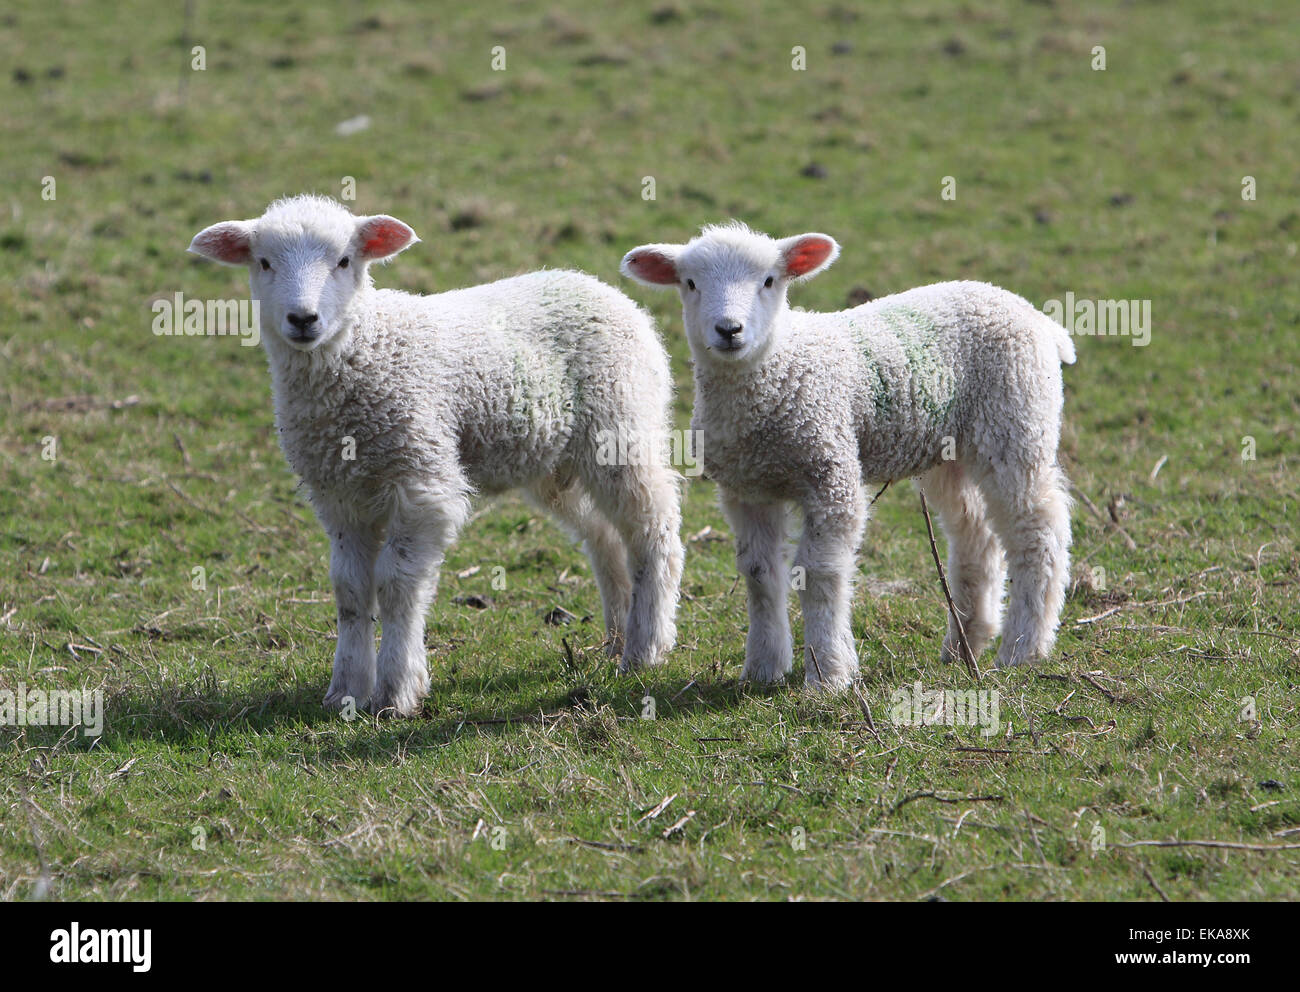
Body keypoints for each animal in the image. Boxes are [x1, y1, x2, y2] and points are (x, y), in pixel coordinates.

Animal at [189, 196, 691, 712]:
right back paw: (616, 638)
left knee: (653, 532)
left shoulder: (421, 482)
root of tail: (601, 289)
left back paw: (646, 647)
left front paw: (395, 691)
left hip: (621, 429)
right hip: (555, 464)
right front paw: (345, 691)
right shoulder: (339, 496)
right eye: (264, 262)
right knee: (605, 538)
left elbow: (395, 586)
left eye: (344, 261)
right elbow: (350, 590)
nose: (303, 319)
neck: (364, 351)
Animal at [618, 224, 1076, 691]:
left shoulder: (831, 474)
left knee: (1038, 532)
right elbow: (759, 574)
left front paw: (829, 673)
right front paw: (762, 669)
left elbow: (819, 573)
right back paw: (965, 644)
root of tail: (1035, 316)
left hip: (1016, 423)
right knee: (975, 536)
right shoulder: (746, 489)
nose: (729, 330)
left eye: (769, 281)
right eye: (691, 283)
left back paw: (1023, 648)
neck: (776, 373)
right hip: (950, 452)